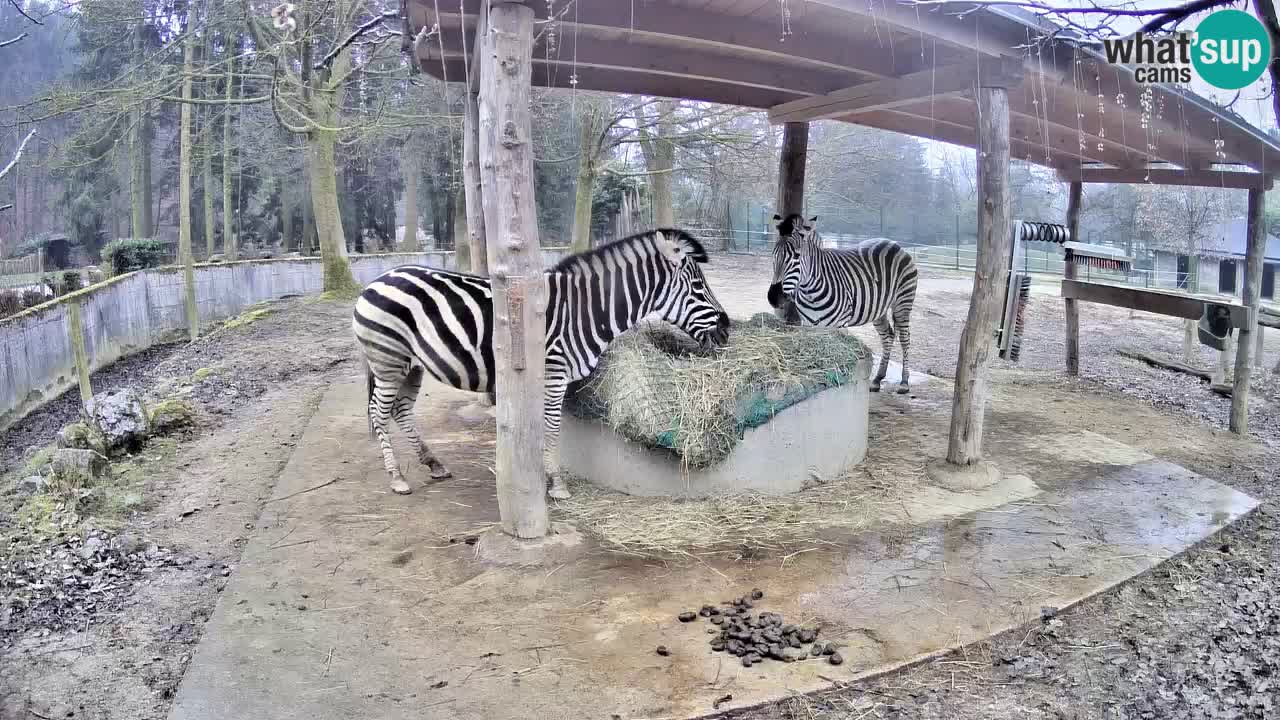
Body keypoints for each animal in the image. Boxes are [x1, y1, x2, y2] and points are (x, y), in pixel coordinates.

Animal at [350, 229, 732, 499]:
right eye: (698, 287)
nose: (728, 329)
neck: (584, 311)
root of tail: (377, 280)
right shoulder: (553, 374)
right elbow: (550, 429)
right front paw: (556, 484)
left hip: (411, 366)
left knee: (401, 411)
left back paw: (434, 463)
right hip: (388, 360)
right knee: (379, 413)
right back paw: (398, 478)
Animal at [762, 212, 916, 392]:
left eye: (796, 256)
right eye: (774, 255)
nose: (774, 298)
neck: (809, 290)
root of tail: (892, 243)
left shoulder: (840, 325)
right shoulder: (809, 324)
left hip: (902, 303)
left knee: (905, 339)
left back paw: (904, 382)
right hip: (879, 309)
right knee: (888, 336)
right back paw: (878, 379)